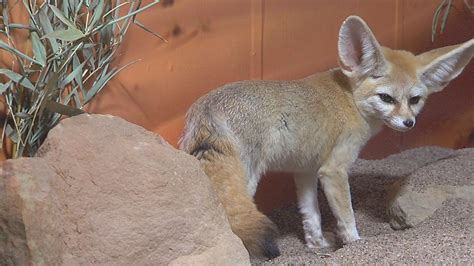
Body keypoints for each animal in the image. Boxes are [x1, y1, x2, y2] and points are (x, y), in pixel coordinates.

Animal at [179, 15, 474, 258]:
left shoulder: (305, 170)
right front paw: (355, 245)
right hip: (247, 179)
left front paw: (317, 245)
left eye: (415, 100)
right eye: (386, 98)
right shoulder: (333, 170)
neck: (349, 98)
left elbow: (311, 215)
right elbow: (347, 217)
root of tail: (206, 106)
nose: (408, 123)